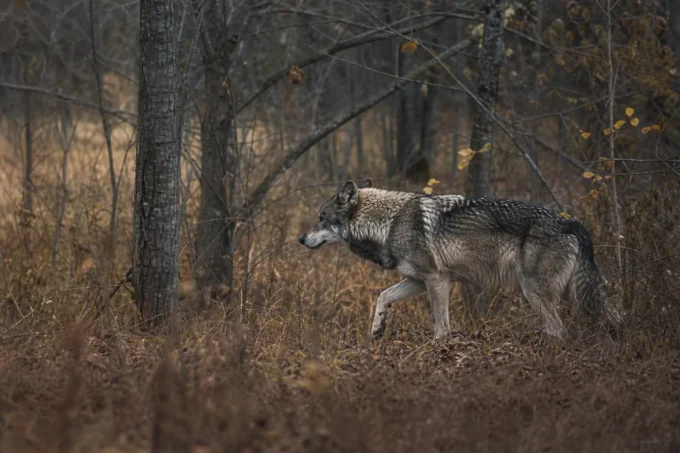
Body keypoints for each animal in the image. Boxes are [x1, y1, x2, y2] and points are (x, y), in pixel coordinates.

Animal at [298, 179, 623, 342]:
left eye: (321, 218)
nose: (301, 239)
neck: (389, 223)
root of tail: (573, 223)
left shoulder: (437, 280)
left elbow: (442, 328)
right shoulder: (418, 280)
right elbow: (383, 296)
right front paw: (377, 329)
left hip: (535, 291)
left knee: (558, 330)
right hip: (573, 294)